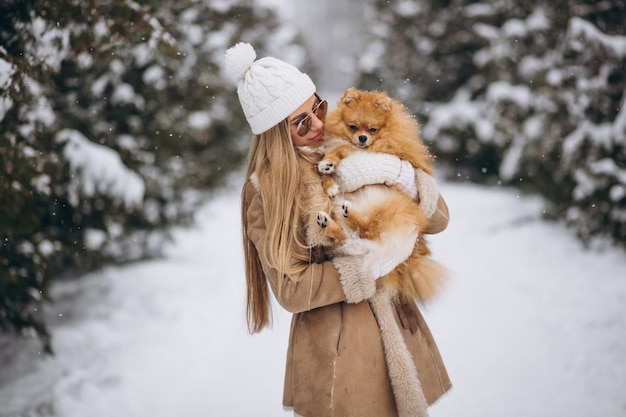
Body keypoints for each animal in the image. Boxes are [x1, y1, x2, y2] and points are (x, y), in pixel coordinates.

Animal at [316, 88, 444, 302]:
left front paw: (330, 163)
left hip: (385, 210)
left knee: (365, 228)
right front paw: (329, 178)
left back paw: (346, 213)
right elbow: (324, 169)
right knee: (347, 237)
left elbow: (339, 150)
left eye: (373, 130)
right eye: (353, 127)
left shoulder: (359, 150)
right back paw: (327, 222)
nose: (362, 138)